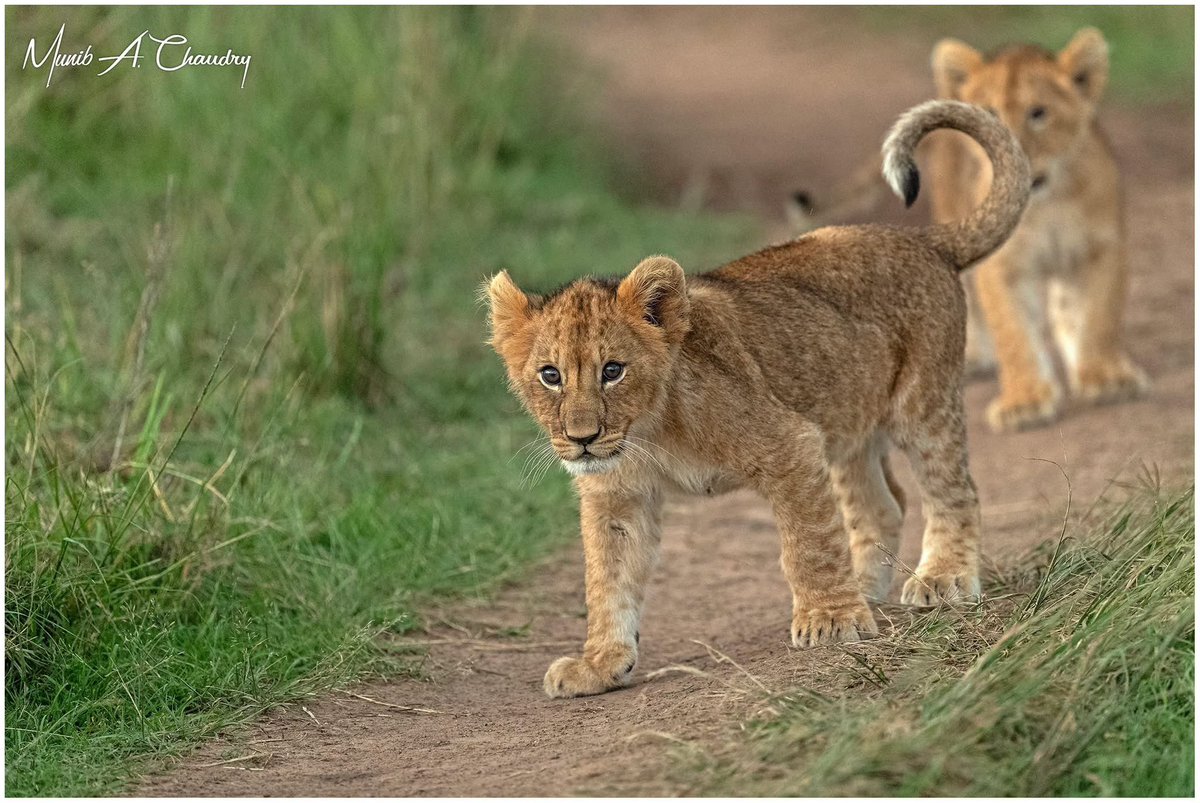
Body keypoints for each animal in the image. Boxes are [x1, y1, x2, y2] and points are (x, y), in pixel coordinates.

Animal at [486, 100, 1030, 699]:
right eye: (550, 376)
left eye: (612, 371)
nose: (582, 439)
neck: (649, 431)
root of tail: (924, 241)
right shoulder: (617, 495)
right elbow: (608, 578)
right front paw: (600, 663)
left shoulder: (789, 444)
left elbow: (808, 541)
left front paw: (829, 620)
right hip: (843, 422)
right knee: (884, 504)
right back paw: (866, 589)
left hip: (921, 406)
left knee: (953, 491)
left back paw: (942, 578)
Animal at [791, 28, 1148, 432]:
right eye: (990, 113)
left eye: (1038, 113)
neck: (1046, 205)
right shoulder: (1002, 266)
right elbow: (1012, 330)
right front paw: (1024, 400)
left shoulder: (1101, 248)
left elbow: (1099, 314)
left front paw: (1105, 377)